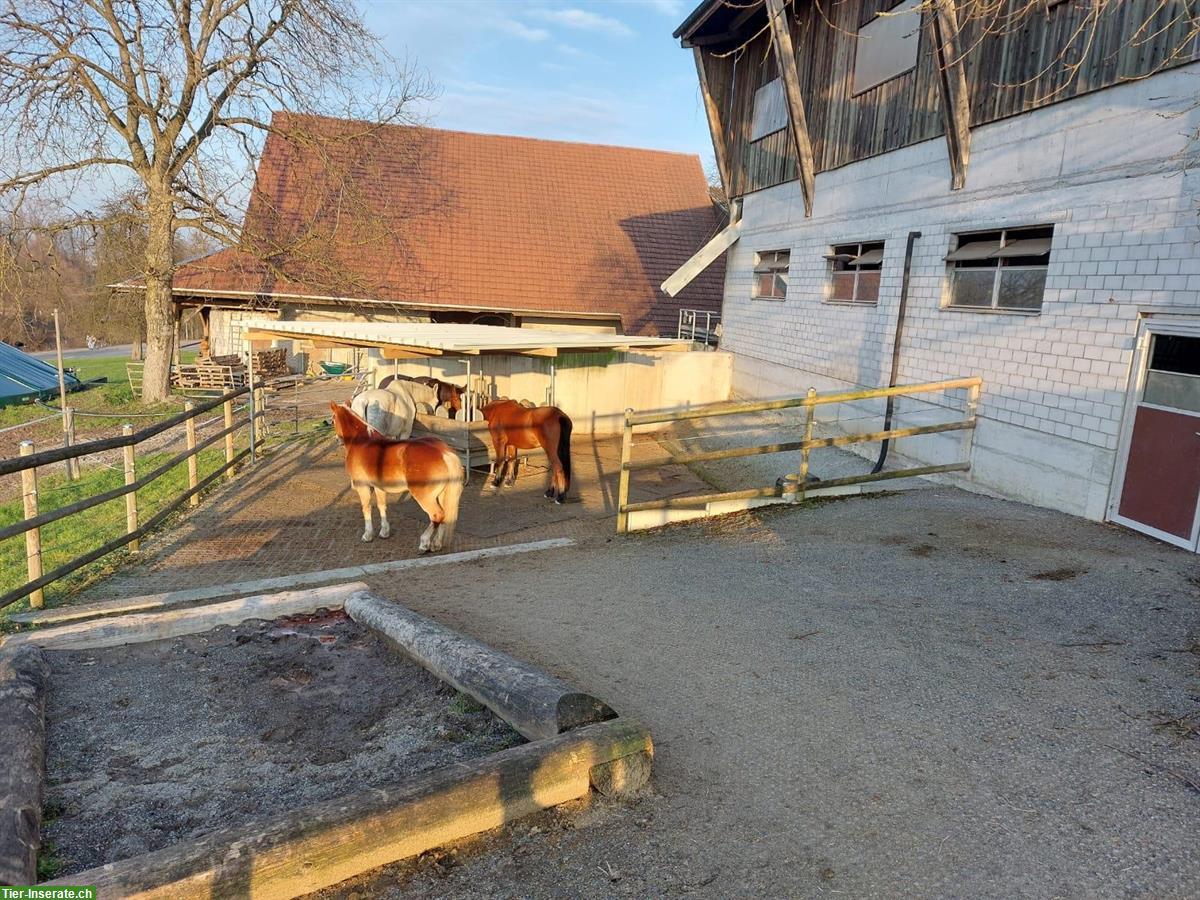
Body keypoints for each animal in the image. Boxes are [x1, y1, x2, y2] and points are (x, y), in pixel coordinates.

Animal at [328, 403, 463, 556]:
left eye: (333, 419)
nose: (337, 440)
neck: (361, 441)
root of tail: (444, 452)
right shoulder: (379, 487)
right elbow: (381, 506)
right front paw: (384, 532)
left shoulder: (363, 486)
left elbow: (366, 508)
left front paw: (367, 535)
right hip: (442, 495)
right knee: (445, 517)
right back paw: (436, 544)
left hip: (425, 497)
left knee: (437, 515)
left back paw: (424, 543)